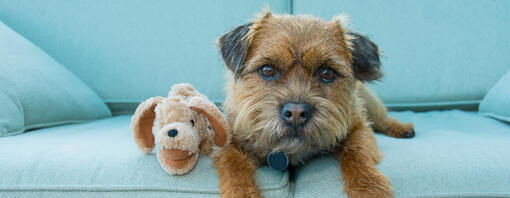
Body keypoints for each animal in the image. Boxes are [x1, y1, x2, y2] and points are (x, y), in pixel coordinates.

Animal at [213, 10, 412, 197]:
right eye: (267, 70)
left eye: (327, 73)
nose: (296, 113)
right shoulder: (230, 141)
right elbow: (232, 163)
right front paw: (242, 192)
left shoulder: (358, 126)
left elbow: (357, 151)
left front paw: (369, 187)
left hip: (372, 104)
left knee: (383, 120)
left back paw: (402, 128)